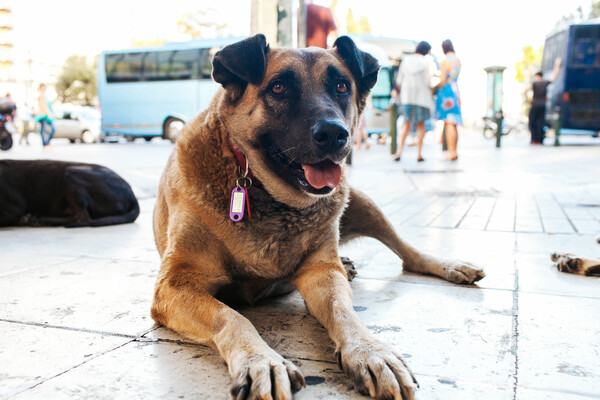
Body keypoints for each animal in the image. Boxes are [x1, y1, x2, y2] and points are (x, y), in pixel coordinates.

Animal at [152, 35, 486, 400]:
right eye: (279, 87)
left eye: (341, 86)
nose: (334, 134)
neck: (260, 188)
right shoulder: (175, 286)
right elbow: (231, 317)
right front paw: (261, 360)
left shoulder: (321, 275)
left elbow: (343, 312)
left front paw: (370, 351)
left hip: (362, 203)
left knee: (408, 253)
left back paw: (449, 266)